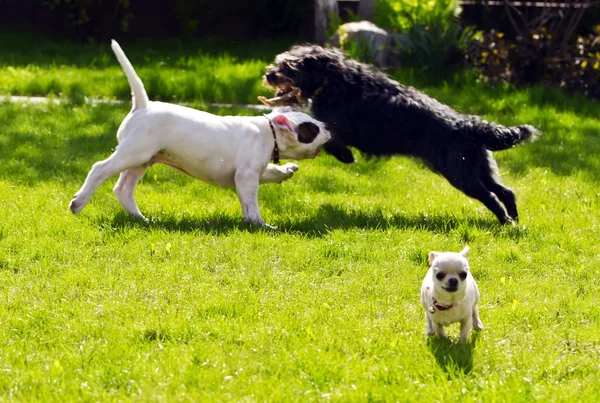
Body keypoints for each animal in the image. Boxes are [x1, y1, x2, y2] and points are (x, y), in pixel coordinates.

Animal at [68, 40, 330, 227]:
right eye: (312, 128)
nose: (327, 126)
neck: (270, 131)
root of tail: (144, 106)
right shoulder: (246, 176)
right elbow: (251, 203)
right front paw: (260, 224)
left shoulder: (251, 173)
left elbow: (269, 175)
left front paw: (286, 171)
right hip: (133, 153)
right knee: (99, 169)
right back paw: (78, 202)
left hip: (143, 160)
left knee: (123, 189)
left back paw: (141, 219)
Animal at [260, 45, 540, 226]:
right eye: (280, 63)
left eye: (289, 67)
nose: (269, 74)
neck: (333, 79)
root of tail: (468, 125)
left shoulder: (334, 127)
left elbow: (332, 145)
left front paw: (347, 157)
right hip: (478, 168)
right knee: (506, 191)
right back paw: (514, 220)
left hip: (460, 174)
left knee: (491, 196)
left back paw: (505, 222)